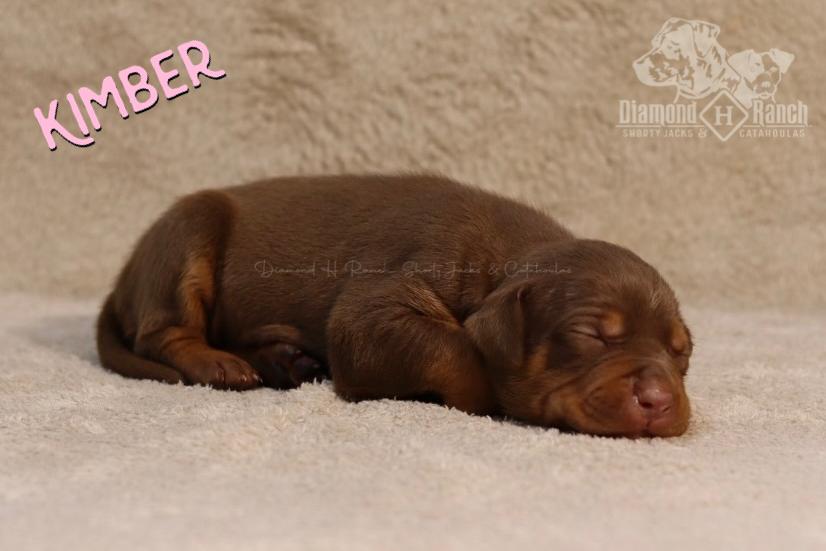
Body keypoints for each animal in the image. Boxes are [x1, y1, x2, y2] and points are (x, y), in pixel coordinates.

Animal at [97, 175, 693, 438]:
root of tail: (122, 277)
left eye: (680, 352)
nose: (662, 400)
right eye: (593, 336)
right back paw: (219, 363)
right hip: (188, 234)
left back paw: (285, 360)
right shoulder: (378, 305)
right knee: (163, 331)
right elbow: (451, 345)